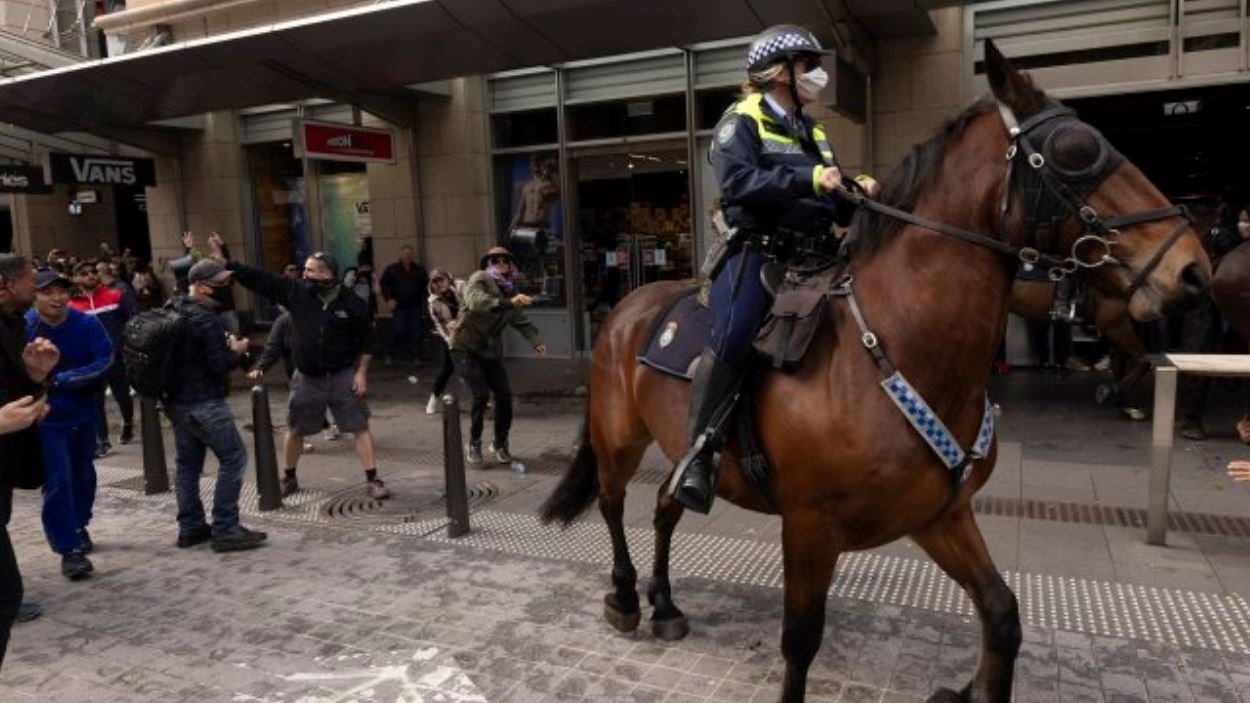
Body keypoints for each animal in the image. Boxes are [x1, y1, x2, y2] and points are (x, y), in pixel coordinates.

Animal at [1005, 277, 1150, 415]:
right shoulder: (1115, 324)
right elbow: (1143, 361)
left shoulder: (1115, 327)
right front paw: (1110, 393)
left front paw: (1126, 404)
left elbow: (1119, 365)